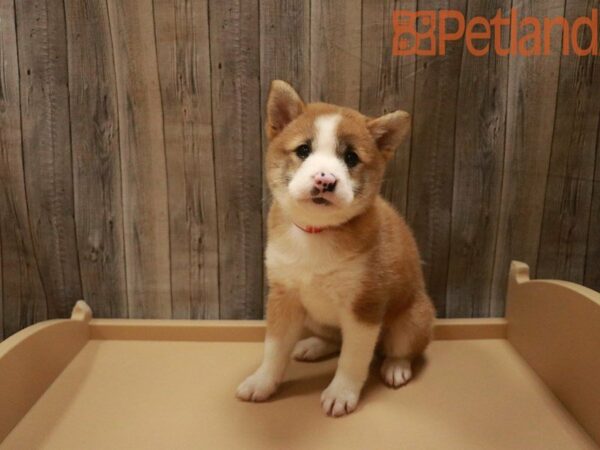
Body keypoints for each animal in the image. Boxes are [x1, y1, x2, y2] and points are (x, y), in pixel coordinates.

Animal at [236, 79, 436, 416]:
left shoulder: (364, 307)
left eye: (351, 158)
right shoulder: (284, 297)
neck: (316, 235)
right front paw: (262, 382)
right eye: (303, 150)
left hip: (412, 319)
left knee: (399, 349)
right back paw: (313, 345)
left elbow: (353, 359)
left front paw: (341, 393)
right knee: (334, 339)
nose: (325, 180)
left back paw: (396, 367)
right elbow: (274, 349)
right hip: (313, 316)